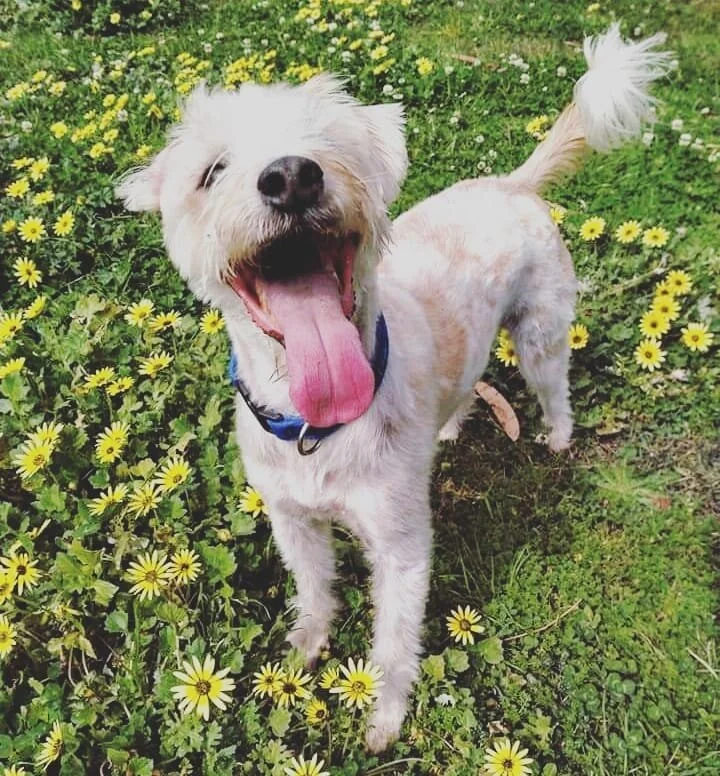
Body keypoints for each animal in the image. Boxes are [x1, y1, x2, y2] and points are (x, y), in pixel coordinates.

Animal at [118, 24, 670, 752]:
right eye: (212, 171)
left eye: (329, 143)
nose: (292, 176)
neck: (315, 423)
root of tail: (511, 183)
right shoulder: (292, 520)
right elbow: (315, 588)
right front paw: (306, 644)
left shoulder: (402, 547)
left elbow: (393, 642)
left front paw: (384, 716)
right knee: (468, 384)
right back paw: (450, 426)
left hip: (541, 335)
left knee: (555, 390)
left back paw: (555, 437)